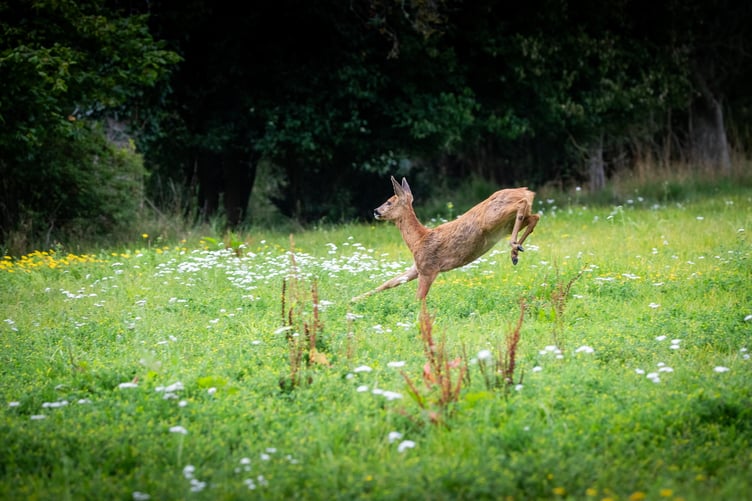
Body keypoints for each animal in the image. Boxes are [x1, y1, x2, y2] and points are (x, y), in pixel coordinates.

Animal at [352, 176, 540, 301]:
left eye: (389, 202)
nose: (375, 211)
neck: (418, 240)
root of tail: (526, 191)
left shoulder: (428, 268)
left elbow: (419, 298)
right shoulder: (417, 267)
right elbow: (389, 282)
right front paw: (354, 299)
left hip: (492, 218)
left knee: (523, 205)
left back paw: (514, 246)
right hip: (504, 224)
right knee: (534, 217)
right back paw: (515, 252)